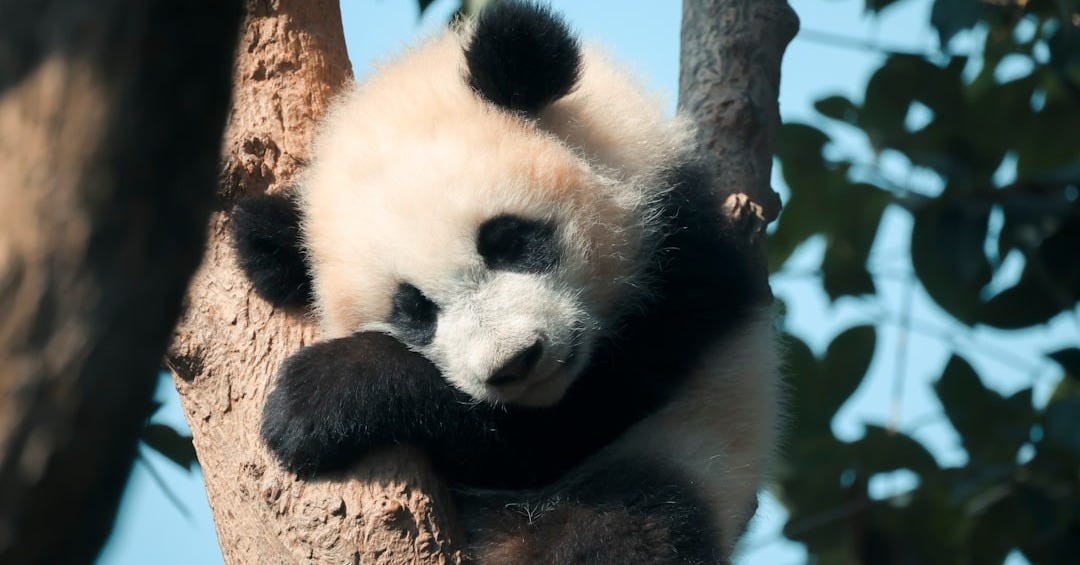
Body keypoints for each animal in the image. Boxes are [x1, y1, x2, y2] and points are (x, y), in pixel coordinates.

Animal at [231, 2, 780, 563]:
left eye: (508, 240)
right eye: (414, 311)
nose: (515, 362)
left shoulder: (682, 270)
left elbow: (552, 431)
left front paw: (318, 396)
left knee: (624, 529)